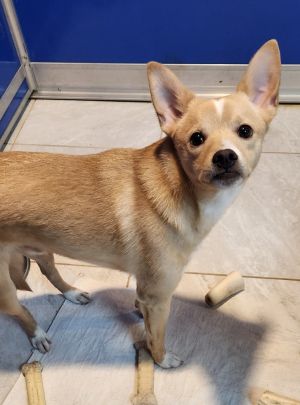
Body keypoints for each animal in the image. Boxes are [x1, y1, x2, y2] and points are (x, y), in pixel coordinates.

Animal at [0, 39, 282, 368]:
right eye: (196, 139)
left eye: (245, 131)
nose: (225, 156)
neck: (183, 188)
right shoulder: (159, 297)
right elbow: (156, 337)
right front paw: (160, 360)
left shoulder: (147, 289)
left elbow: (142, 311)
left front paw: (136, 312)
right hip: (4, 289)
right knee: (20, 310)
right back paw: (37, 334)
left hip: (42, 245)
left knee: (49, 271)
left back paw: (71, 293)